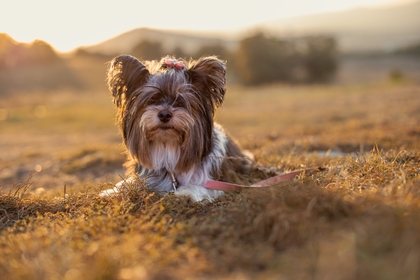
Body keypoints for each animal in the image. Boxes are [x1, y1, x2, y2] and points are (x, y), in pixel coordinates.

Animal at [102, 54, 249, 201]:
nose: (164, 115)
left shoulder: (216, 181)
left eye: (180, 101)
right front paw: (113, 191)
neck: (168, 146)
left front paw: (186, 192)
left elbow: (201, 186)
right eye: (152, 100)